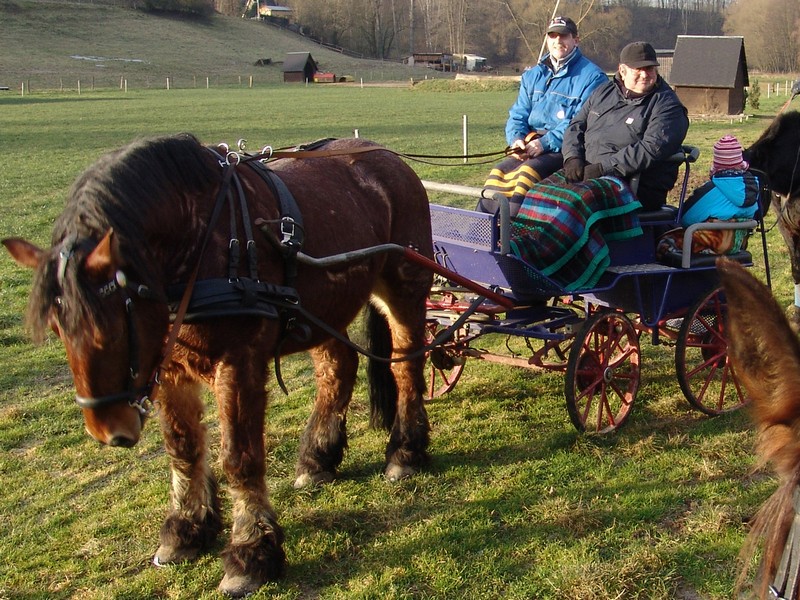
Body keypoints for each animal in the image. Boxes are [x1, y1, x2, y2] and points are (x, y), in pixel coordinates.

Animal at [1, 134, 434, 597]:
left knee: (406, 367)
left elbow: (239, 459)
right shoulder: (170, 370)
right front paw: (185, 529)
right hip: (322, 307)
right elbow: (182, 449)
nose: (109, 430)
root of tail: (384, 155)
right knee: (338, 367)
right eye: (57, 328)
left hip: (403, 288)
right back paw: (318, 458)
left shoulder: (238, 363)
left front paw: (250, 552)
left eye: (112, 328)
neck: (196, 242)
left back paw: (405, 451)